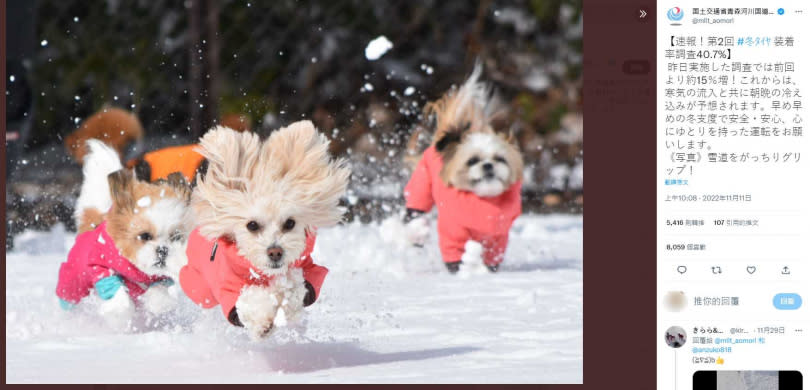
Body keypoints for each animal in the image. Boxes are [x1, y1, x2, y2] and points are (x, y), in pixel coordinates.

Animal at [56, 140, 193, 330]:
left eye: (175, 237)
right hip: (73, 281)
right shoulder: (100, 268)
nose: (163, 250)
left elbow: (159, 292)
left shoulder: (160, 277)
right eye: (144, 236)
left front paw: (156, 302)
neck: (136, 269)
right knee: (68, 297)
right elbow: (116, 293)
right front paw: (120, 313)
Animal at [179, 120, 348, 340]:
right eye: (252, 225)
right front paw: (263, 321)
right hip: (197, 285)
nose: (275, 252)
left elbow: (296, 286)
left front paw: (283, 294)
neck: (263, 273)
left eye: (290, 223)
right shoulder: (229, 288)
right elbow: (248, 300)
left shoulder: (310, 274)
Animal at [392, 63, 524, 274]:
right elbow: (453, 249)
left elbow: (493, 254)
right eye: (472, 161)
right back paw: (415, 231)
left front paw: (488, 271)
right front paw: (459, 270)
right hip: (421, 187)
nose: (488, 165)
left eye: (500, 159)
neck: (483, 200)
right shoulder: (453, 229)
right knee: (415, 210)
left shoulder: (498, 235)